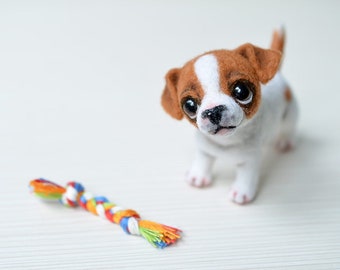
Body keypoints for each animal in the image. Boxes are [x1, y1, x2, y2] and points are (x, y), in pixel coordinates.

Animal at [162, 28, 298, 204]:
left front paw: (241, 192)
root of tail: (278, 75)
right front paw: (198, 175)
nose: (213, 111)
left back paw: (286, 141)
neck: (226, 141)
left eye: (242, 91)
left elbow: (246, 176)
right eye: (189, 105)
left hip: (290, 113)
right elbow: (203, 160)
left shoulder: (249, 160)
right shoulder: (204, 149)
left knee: (288, 128)